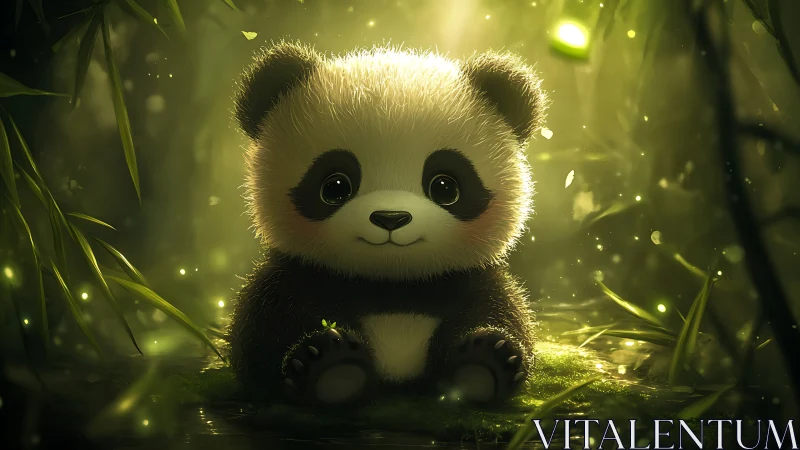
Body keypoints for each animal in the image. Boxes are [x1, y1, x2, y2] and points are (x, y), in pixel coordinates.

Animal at [229, 41, 546, 406]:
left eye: (445, 187)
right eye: (334, 186)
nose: (390, 218)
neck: (392, 283)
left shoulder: (468, 278)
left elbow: (501, 312)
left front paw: (486, 360)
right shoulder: (300, 274)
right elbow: (262, 335)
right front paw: (325, 359)